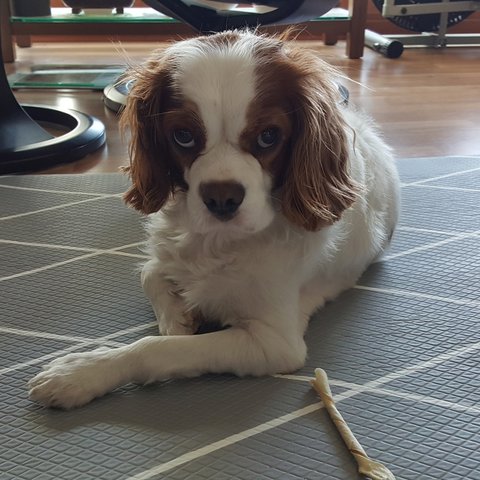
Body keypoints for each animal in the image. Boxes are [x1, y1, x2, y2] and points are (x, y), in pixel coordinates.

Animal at [28, 31, 400, 409]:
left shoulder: (274, 343)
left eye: (268, 136)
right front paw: (178, 320)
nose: (222, 198)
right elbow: (149, 275)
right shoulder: (165, 254)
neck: (218, 243)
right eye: (183, 136)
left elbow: (154, 348)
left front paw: (80, 373)